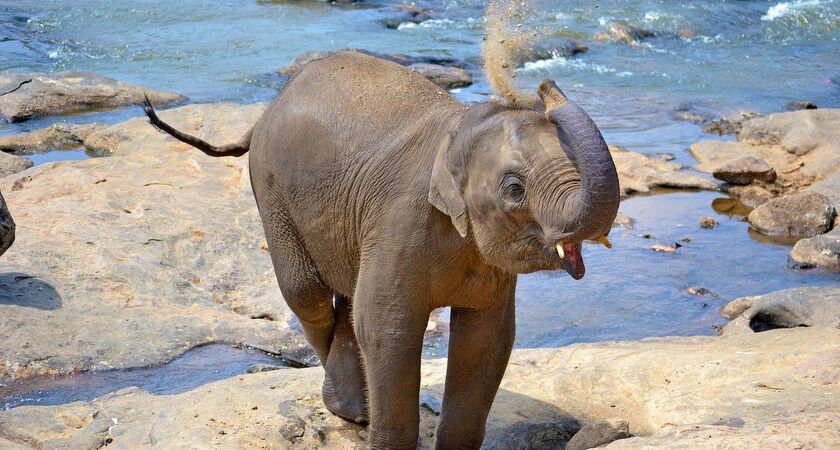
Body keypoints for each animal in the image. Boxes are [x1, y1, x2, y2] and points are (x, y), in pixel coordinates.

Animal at [143, 51, 616, 448]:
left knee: (345, 295)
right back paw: (351, 410)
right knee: (306, 293)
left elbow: (486, 338)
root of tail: (269, 107)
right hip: (271, 188)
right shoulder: (401, 221)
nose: (545, 87)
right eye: (515, 189)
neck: (458, 130)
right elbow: (389, 330)